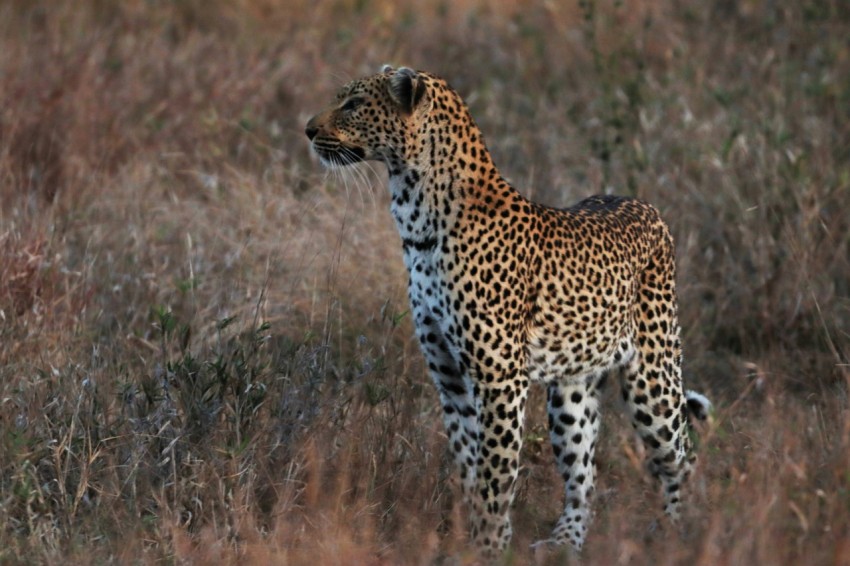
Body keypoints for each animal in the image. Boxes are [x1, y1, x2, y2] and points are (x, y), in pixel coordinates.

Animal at [304, 66, 708, 560]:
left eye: (354, 105)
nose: (308, 131)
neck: (415, 215)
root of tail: (644, 204)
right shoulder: (451, 378)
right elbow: (468, 464)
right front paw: (468, 536)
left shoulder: (499, 376)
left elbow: (496, 472)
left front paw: (489, 547)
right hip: (571, 391)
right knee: (584, 474)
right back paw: (563, 543)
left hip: (652, 378)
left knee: (682, 456)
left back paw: (678, 534)